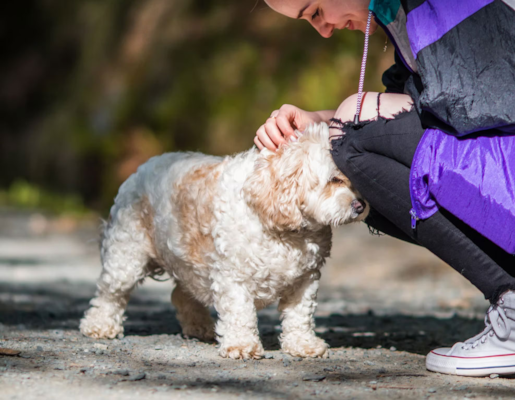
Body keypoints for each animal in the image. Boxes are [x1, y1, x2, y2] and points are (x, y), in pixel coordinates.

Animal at [80, 122, 368, 360]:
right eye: (334, 179)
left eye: (356, 178)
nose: (360, 205)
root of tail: (142, 167)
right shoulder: (234, 277)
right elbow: (240, 313)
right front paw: (242, 346)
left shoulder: (305, 280)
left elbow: (299, 316)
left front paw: (303, 345)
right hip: (126, 259)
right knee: (110, 294)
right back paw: (99, 326)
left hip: (189, 264)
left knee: (182, 296)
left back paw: (199, 326)